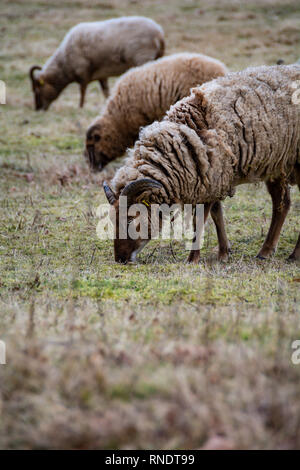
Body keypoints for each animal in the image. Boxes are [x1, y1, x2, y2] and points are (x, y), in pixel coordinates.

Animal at [28, 16, 164, 110]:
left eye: (37, 90)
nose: (38, 109)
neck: (64, 63)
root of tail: (159, 33)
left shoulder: (83, 73)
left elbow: (82, 92)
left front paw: (80, 108)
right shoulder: (102, 76)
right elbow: (106, 91)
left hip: (143, 57)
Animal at [103, 64, 300, 264]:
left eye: (130, 219)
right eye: (112, 219)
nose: (120, 259)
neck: (184, 139)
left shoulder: (210, 176)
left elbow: (200, 220)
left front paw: (192, 259)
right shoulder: (212, 177)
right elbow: (216, 213)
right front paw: (223, 253)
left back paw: (293, 255)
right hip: (278, 164)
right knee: (282, 204)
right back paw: (265, 252)